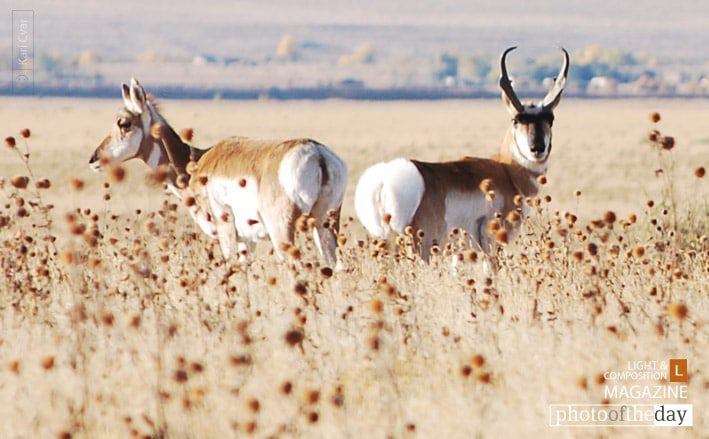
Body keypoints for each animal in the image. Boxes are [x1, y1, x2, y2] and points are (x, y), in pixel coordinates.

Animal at [89, 78, 348, 266]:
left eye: (124, 123)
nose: (94, 159)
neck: (196, 160)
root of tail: (316, 152)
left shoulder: (227, 234)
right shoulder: (246, 242)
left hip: (283, 232)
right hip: (324, 227)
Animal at [354, 47, 569, 263]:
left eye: (550, 119)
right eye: (516, 120)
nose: (537, 148)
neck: (507, 170)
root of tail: (386, 178)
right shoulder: (490, 244)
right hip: (421, 247)